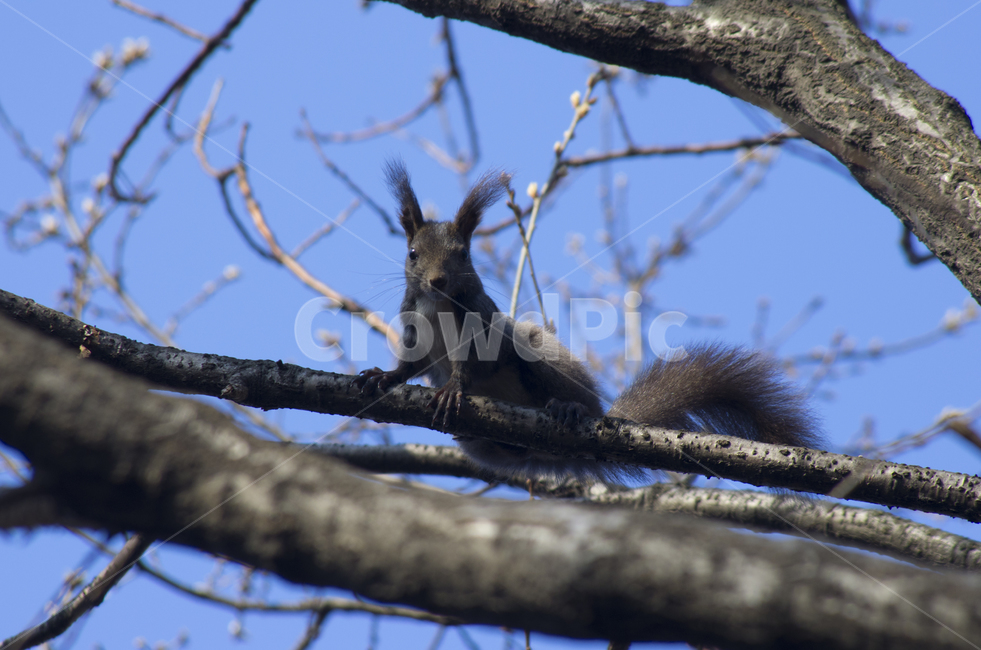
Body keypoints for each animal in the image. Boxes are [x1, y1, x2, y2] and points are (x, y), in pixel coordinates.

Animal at [355, 161, 821, 482]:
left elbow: (468, 364)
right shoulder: (414, 326)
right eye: (412, 253)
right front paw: (383, 376)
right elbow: (411, 366)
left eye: (463, 254)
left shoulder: (481, 325)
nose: (437, 280)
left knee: (567, 395)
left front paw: (454, 386)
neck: (437, 305)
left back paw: (569, 407)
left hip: (541, 356)